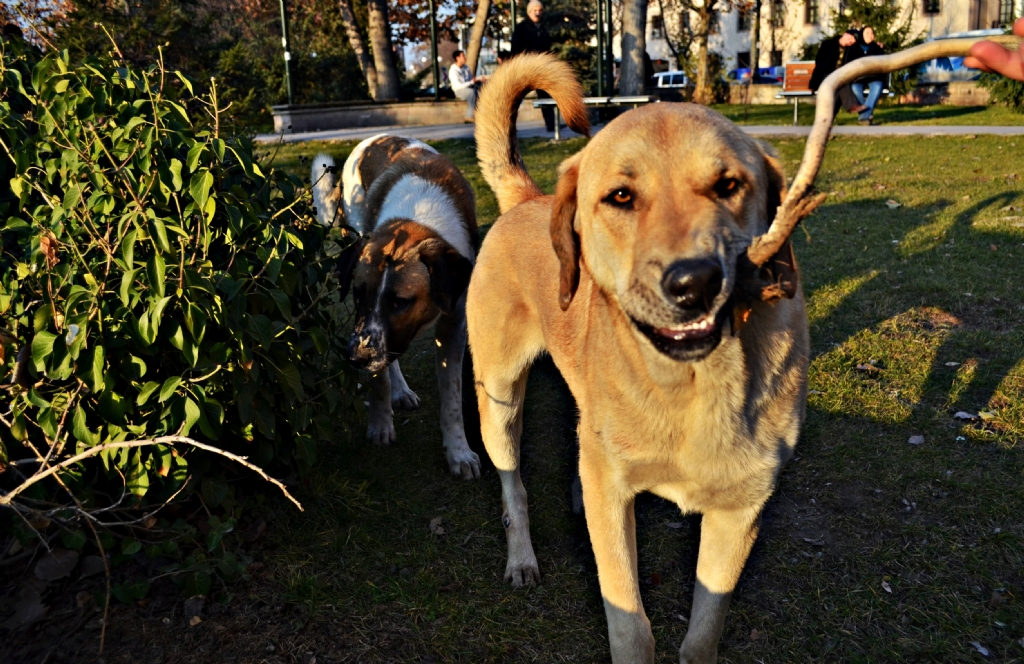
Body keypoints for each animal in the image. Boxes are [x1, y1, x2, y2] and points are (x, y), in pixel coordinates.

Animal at [311, 133, 483, 477]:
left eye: (400, 302)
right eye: (358, 294)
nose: (355, 358)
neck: (418, 218)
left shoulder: (454, 325)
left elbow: (452, 398)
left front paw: (458, 451)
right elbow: (379, 381)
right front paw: (380, 424)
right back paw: (398, 390)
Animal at [464, 53, 806, 664]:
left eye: (728, 185)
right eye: (621, 197)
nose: (694, 283)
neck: (690, 387)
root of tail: (527, 199)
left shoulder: (739, 512)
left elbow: (704, 630)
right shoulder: (616, 502)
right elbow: (629, 623)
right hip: (498, 400)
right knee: (514, 489)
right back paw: (522, 556)